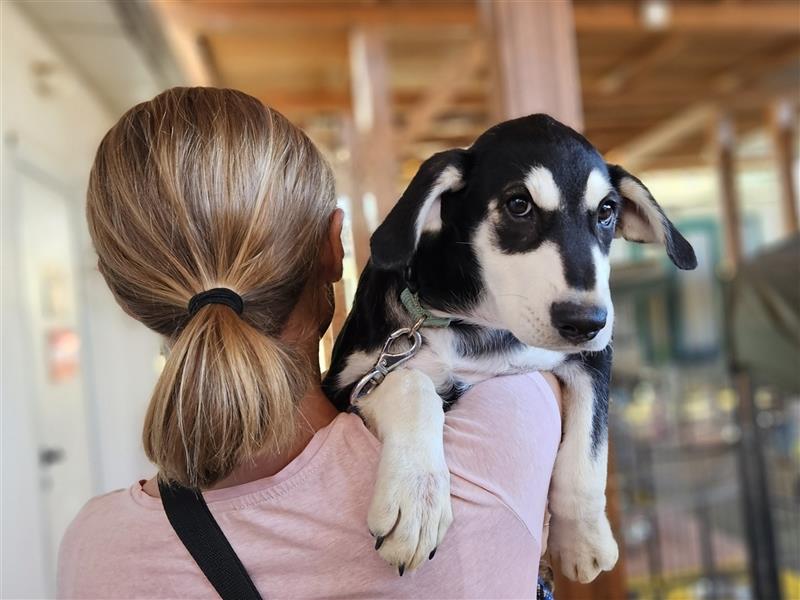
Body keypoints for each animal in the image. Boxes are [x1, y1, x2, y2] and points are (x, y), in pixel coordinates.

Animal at [322, 113, 696, 580]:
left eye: (607, 211)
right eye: (519, 204)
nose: (585, 322)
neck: (475, 323)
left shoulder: (592, 357)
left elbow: (589, 448)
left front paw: (582, 538)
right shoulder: (348, 385)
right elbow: (411, 383)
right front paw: (417, 497)